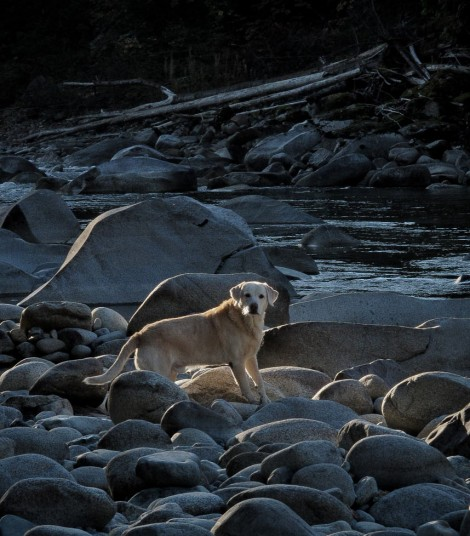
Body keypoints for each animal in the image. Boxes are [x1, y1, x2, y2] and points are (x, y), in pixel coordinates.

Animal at [83, 282, 280, 404]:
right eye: (247, 295)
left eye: (261, 296)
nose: (253, 306)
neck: (244, 321)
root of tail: (140, 334)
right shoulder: (237, 362)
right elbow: (245, 384)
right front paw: (252, 399)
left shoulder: (250, 358)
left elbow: (259, 379)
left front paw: (265, 400)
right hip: (158, 370)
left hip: (169, 372)